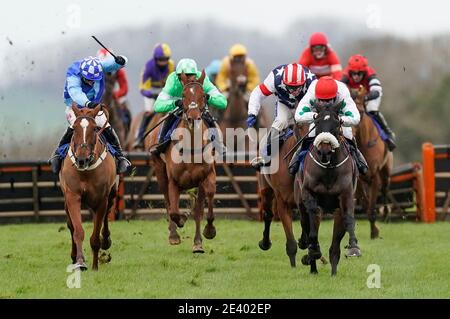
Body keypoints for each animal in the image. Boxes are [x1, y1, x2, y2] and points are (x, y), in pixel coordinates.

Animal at [59, 104, 117, 270]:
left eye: (95, 128)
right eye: (74, 128)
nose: (81, 159)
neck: (86, 171)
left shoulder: (101, 200)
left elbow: (96, 236)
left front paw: (95, 266)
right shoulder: (72, 196)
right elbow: (77, 231)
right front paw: (80, 261)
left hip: (111, 194)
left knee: (106, 216)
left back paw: (106, 240)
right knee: (71, 226)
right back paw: (74, 257)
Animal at [145, 71, 217, 254]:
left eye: (203, 96)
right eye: (183, 95)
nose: (193, 118)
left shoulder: (206, 176)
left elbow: (204, 205)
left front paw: (206, 234)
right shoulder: (174, 181)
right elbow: (174, 211)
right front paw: (181, 223)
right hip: (159, 170)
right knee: (168, 202)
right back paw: (173, 235)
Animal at [352, 86, 394, 239]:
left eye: (360, 112)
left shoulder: (375, 175)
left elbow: (371, 206)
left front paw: (374, 232)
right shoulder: (358, 178)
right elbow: (365, 204)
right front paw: (374, 229)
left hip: (386, 172)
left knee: (385, 189)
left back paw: (386, 214)